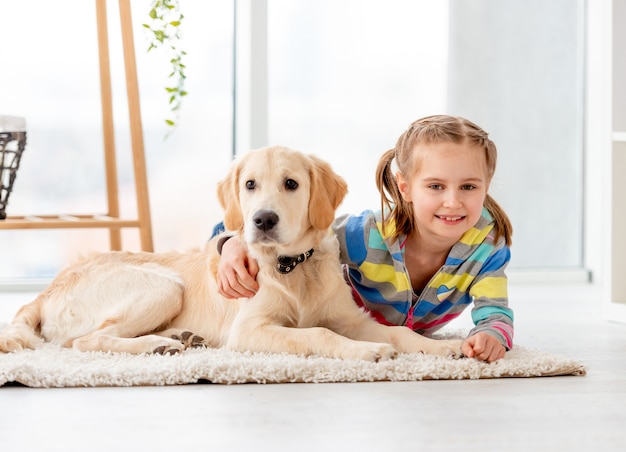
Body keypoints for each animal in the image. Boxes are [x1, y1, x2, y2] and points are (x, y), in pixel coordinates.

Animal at [0, 147, 458, 362]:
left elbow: (396, 333)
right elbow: (316, 334)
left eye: (291, 183)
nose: (262, 220)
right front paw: (365, 352)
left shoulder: (351, 319)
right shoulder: (250, 330)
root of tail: (50, 286)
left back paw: (178, 338)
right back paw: (156, 346)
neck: (293, 267)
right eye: (250, 184)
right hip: (165, 287)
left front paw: (437, 348)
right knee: (84, 341)